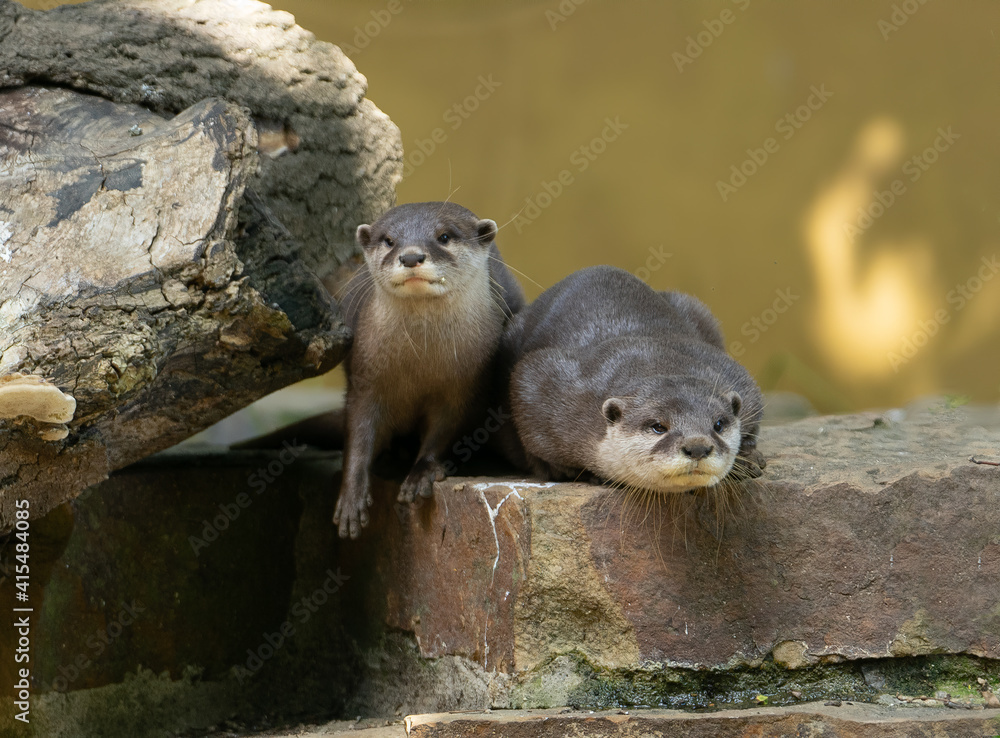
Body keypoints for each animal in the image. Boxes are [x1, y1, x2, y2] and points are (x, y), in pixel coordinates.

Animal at [334, 202, 525, 539]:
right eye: (388, 240)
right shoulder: (365, 379)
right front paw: (351, 498)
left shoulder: (466, 388)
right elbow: (357, 431)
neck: (420, 363)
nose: (411, 256)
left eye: (444, 236)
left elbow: (445, 429)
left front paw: (421, 473)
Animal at [499, 266, 764, 493]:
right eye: (658, 427)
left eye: (718, 424)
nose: (697, 447)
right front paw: (587, 474)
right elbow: (538, 450)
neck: (651, 360)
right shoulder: (541, 384)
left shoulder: (728, 372)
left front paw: (748, 457)